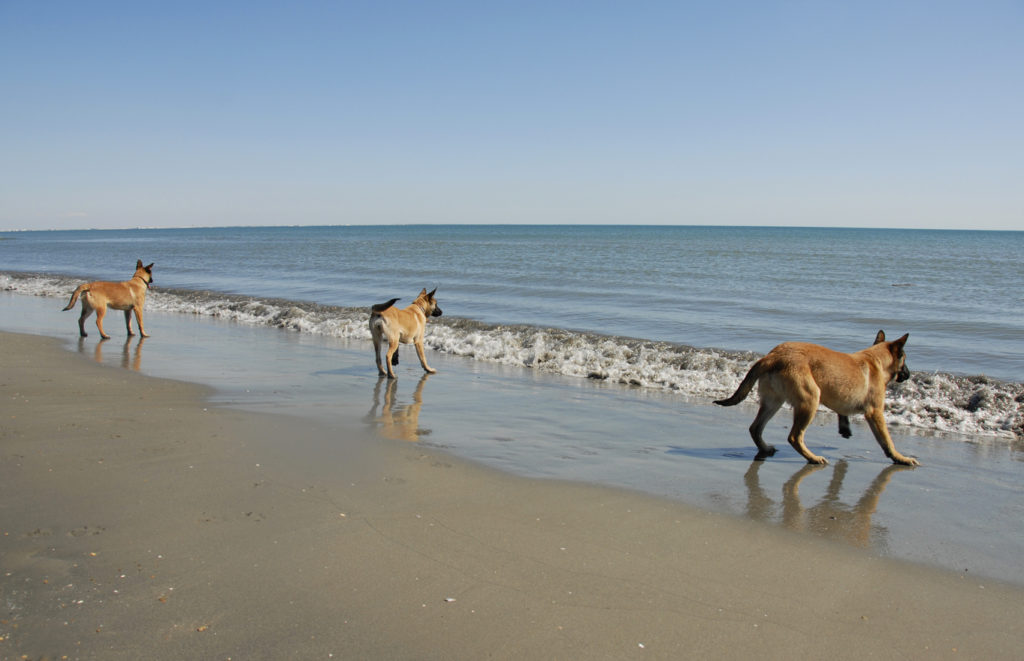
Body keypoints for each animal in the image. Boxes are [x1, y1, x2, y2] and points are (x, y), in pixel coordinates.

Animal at [712, 329, 921, 466]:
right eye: (905, 359)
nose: (909, 374)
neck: (875, 359)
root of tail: (772, 357)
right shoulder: (875, 412)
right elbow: (887, 440)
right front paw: (900, 457)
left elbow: (842, 411)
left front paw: (845, 427)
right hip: (810, 399)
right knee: (794, 437)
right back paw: (812, 458)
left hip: (774, 401)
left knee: (755, 428)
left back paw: (764, 448)